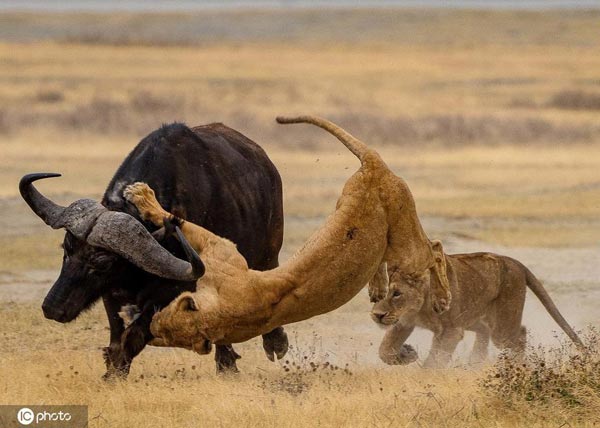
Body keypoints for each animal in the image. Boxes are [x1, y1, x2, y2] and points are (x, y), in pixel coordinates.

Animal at [21, 123, 288, 378]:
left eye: (102, 262)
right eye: (66, 249)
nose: (52, 308)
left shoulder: (174, 291)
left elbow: (133, 336)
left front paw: (113, 375)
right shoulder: (111, 293)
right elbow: (117, 337)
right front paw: (112, 369)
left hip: (268, 253)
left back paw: (265, 347)